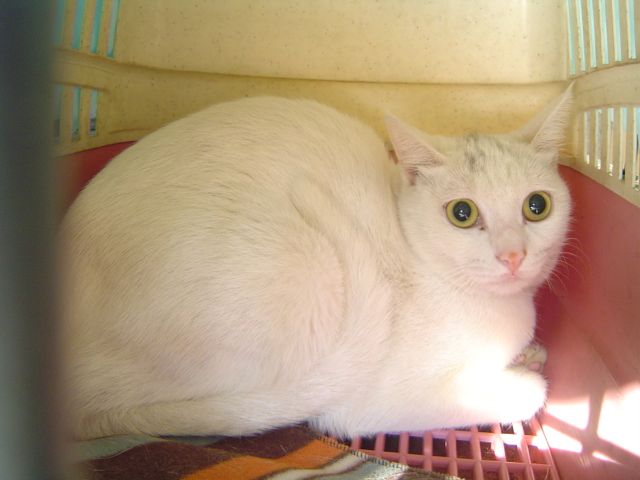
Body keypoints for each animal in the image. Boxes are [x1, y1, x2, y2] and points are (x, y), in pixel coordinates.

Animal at [61, 87, 572, 440]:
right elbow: (524, 392)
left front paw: (530, 353)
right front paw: (524, 374)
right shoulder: (374, 403)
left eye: (537, 206)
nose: (513, 255)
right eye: (461, 213)